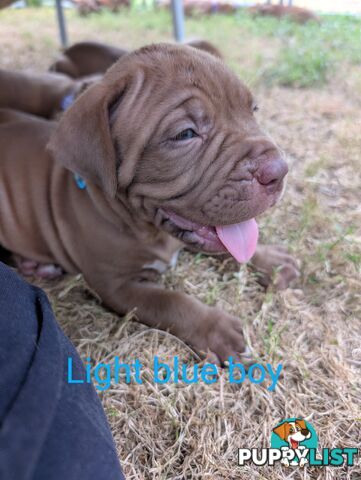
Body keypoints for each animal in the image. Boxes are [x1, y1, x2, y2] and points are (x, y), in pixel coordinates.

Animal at [0, 45, 298, 364]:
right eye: (185, 134)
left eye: (253, 110)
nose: (279, 170)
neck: (148, 231)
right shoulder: (118, 287)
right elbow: (169, 301)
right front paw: (216, 329)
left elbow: (232, 249)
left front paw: (272, 261)